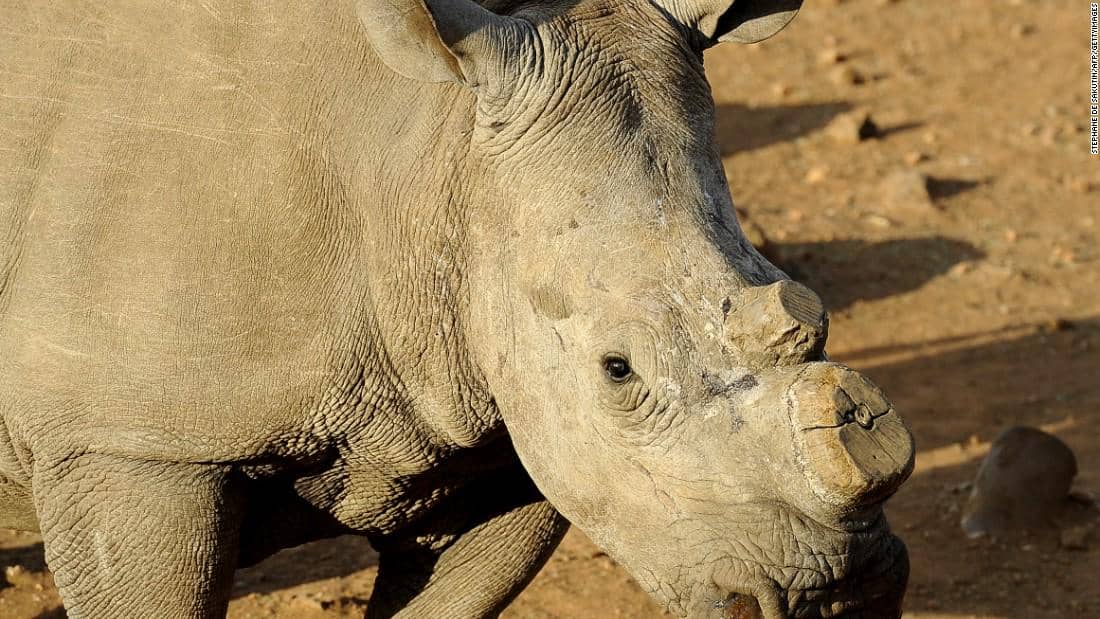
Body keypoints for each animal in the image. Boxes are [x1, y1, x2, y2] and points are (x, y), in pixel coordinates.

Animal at [0, 0, 915, 617]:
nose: (840, 594)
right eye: (618, 370)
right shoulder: (128, 443)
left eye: (812, 311)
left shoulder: (498, 436)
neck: (426, 150)